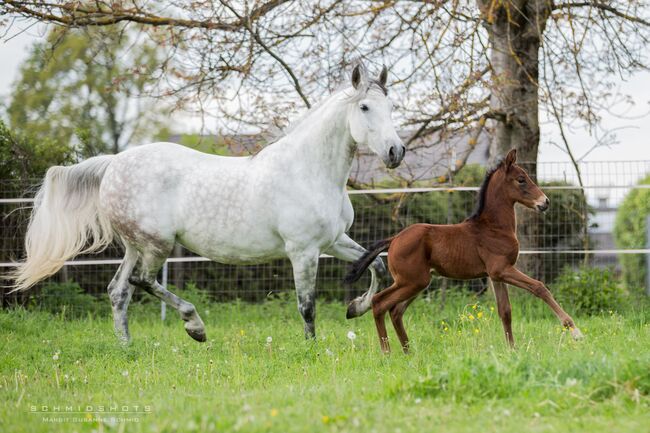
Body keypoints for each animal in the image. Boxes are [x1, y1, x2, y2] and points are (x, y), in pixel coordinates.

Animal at [344, 150, 584, 352]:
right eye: (521, 179)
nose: (545, 202)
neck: (493, 227)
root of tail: (394, 239)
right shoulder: (502, 269)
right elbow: (539, 287)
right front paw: (575, 331)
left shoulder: (496, 276)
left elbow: (505, 312)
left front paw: (512, 350)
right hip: (412, 281)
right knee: (379, 303)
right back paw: (387, 353)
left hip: (416, 283)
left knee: (396, 310)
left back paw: (408, 352)